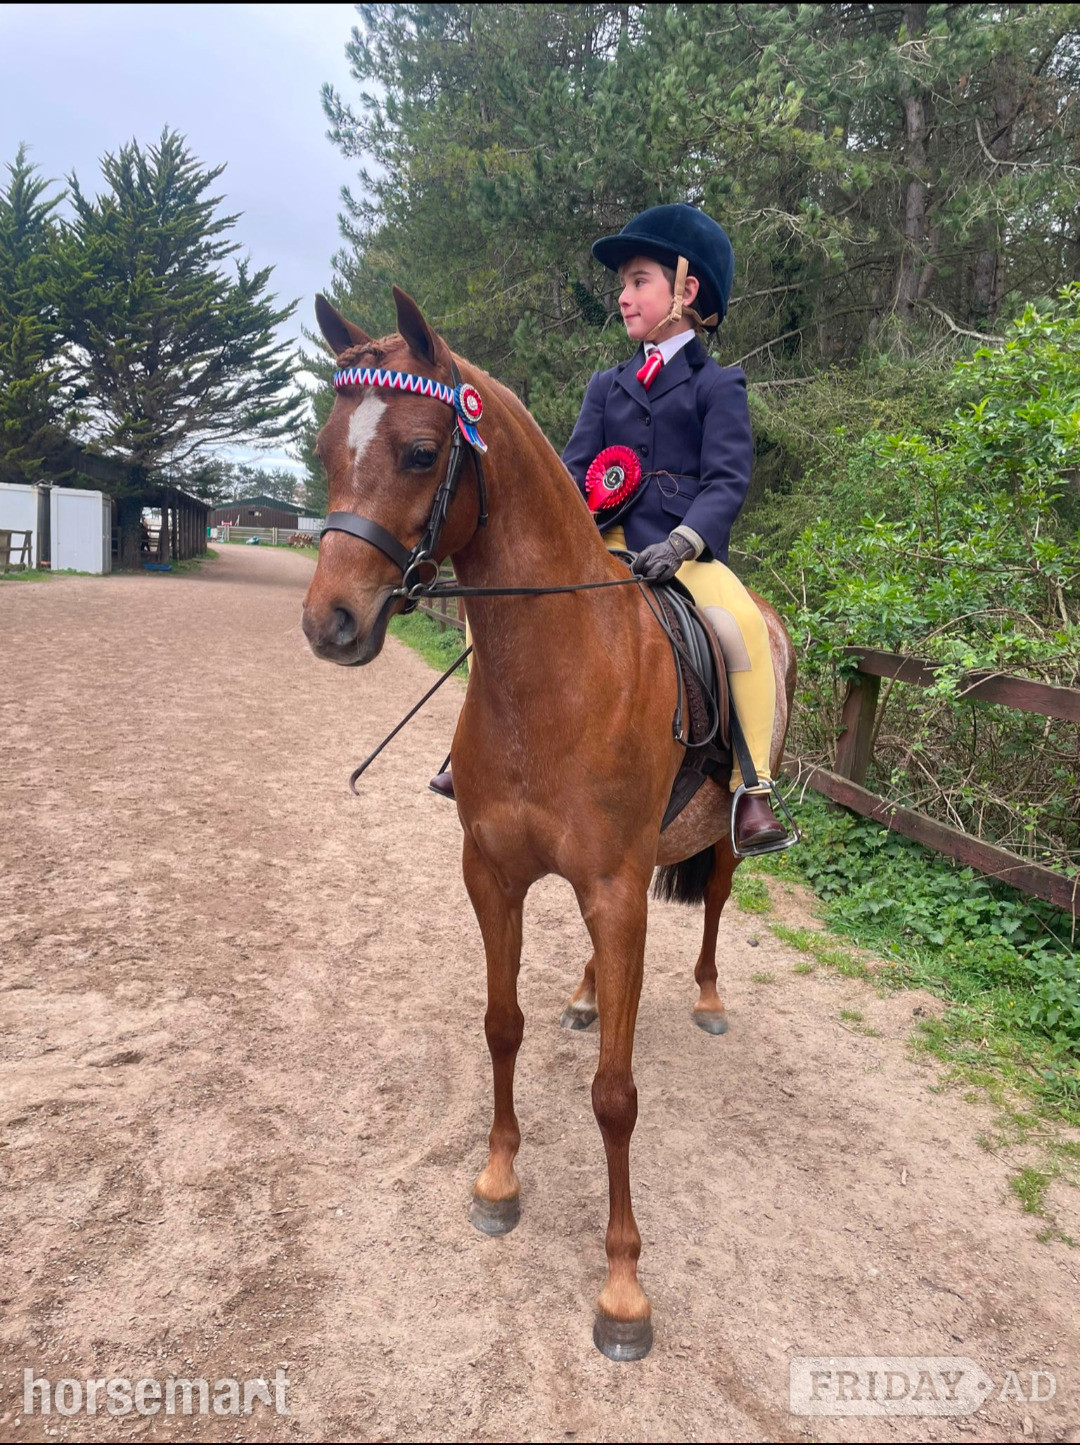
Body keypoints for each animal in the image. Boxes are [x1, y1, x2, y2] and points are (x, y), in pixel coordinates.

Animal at [301, 287, 796, 1361]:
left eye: (418, 451)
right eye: (324, 448)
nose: (330, 624)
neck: (555, 671)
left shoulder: (616, 889)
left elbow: (615, 1095)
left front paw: (623, 1289)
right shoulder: (493, 871)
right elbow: (501, 1025)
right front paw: (498, 1180)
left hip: (721, 838)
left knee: (713, 901)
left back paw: (704, 995)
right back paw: (584, 994)